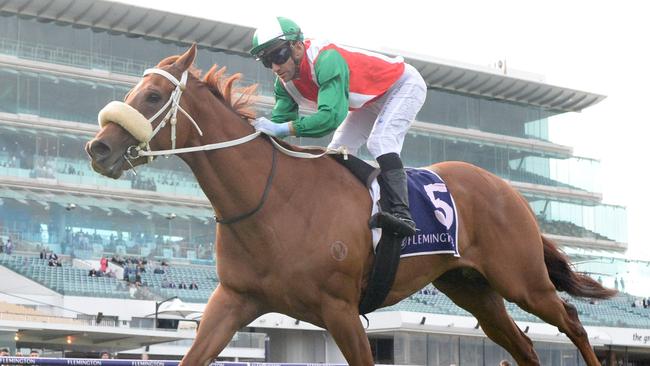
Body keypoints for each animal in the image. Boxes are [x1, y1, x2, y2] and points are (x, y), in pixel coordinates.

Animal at [85, 45, 612, 366]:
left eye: (153, 95)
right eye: (133, 91)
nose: (98, 148)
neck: (270, 202)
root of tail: (507, 189)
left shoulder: (341, 310)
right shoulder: (233, 300)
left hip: (522, 280)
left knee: (571, 321)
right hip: (473, 288)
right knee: (523, 344)